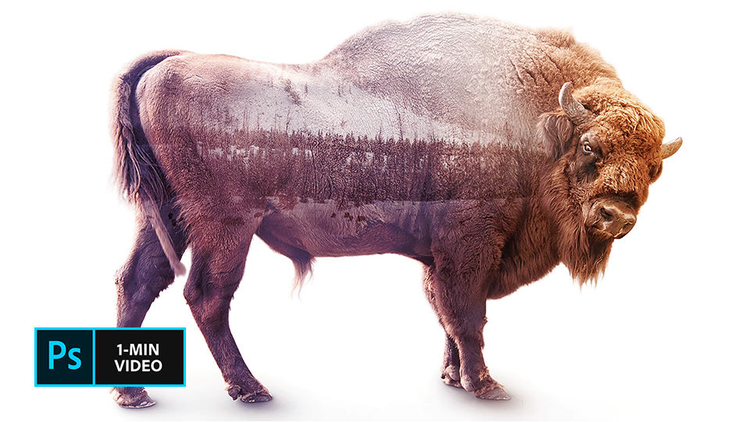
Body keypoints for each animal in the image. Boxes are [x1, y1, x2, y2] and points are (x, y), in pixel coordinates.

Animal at [110, 13, 681, 407]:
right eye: (590, 147)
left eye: (654, 168)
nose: (617, 216)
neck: (535, 125)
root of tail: (165, 64)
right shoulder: (469, 246)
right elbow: (467, 315)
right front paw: (486, 386)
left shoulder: (440, 258)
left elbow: (446, 315)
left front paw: (453, 378)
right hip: (224, 225)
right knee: (207, 296)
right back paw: (251, 389)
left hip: (166, 217)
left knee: (139, 280)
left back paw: (133, 394)